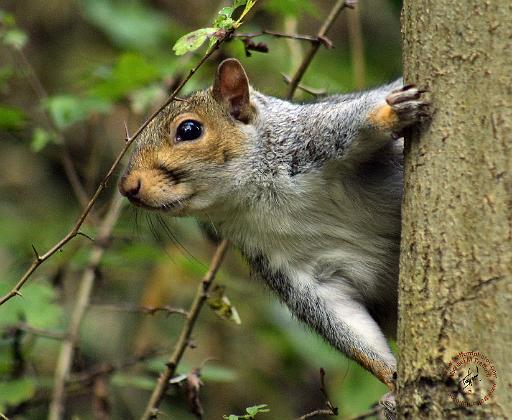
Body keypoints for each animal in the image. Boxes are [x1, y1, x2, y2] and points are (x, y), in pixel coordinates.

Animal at [119, 59, 428, 404]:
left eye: (189, 130)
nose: (127, 187)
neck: (259, 199)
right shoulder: (293, 267)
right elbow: (345, 321)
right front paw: (391, 380)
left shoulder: (313, 137)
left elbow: (354, 122)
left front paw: (393, 111)